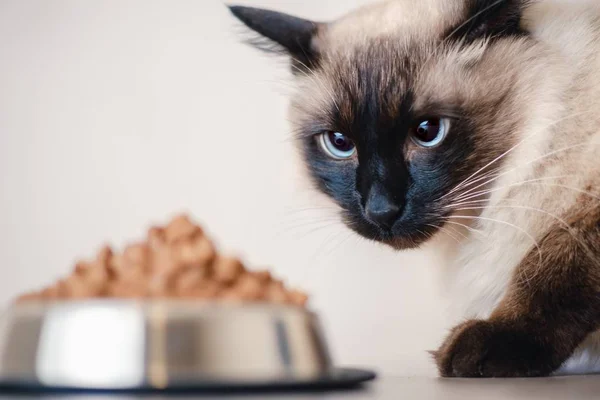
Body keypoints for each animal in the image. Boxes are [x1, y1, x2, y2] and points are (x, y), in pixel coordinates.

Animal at [229, 0, 600, 376]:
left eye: (427, 131)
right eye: (339, 143)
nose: (381, 210)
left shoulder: (583, 211)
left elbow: (551, 272)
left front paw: (491, 347)